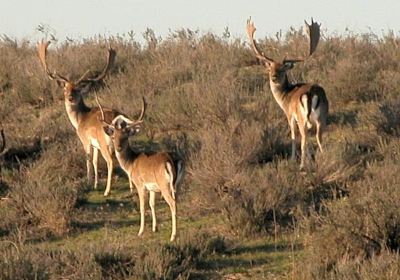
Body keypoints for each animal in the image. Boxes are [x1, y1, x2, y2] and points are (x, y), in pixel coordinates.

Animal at [37, 41, 119, 196]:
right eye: (65, 89)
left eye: (77, 89)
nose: (70, 98)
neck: (79, 120)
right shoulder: (95, 145)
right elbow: (95, 161)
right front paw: (95, 184)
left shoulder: (85, 139)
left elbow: (88, 159)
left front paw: (88, 182)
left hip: (104, 142)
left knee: (111, 162)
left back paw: (107, 191)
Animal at [96, 95, 184, 242]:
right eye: (113, 137)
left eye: (125, 136)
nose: (118, 148)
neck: (131, 164)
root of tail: (170, 161)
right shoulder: (152, 188)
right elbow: (152, 204)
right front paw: (155, 228)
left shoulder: (140, 184)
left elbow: (142, 206)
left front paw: (140, 231)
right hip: (177, 184)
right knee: (177, 200)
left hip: (164, 185)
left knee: (172, 203)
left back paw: (173, 236)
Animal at [247, 18, 328, 171]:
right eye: (270, 69)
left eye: (282, 69)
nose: (273, 77)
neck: (285, 97)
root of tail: (311, 93)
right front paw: (311, 159)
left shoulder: (290, 115)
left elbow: (293, 136)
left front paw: (292, 160)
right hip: (322, 116)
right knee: (318, 137)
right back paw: (325, 159)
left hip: (302, 118)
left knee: (303, 138)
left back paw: (301, 166)